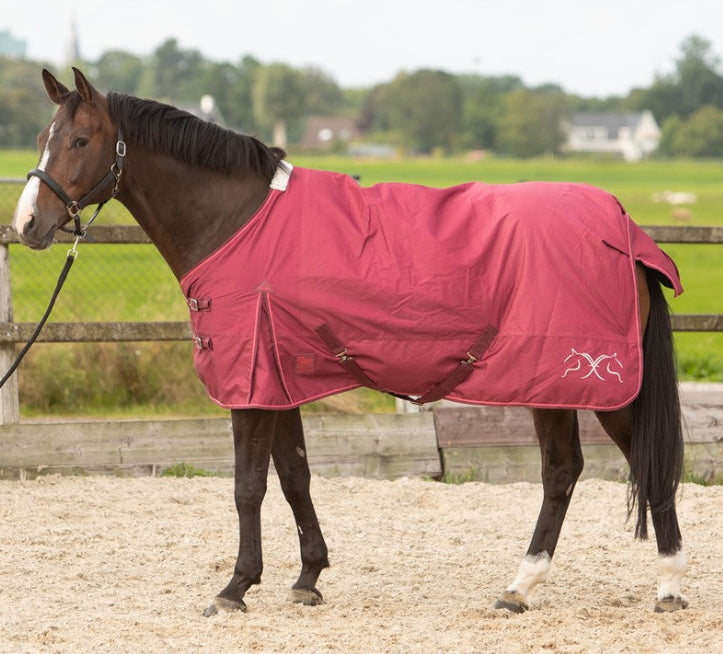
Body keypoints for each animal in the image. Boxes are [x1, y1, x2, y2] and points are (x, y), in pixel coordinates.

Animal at [13, 68, 688, 615]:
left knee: (626, 465)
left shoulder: (249, 383)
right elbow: (294, 476)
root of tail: (624, 230)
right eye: (42, 134)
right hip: (552, 383)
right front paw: (308, 577)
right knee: (565, 471)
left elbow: (248, 486)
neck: (237, 221)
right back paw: (522, 589)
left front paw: (235, 587)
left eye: (79, 140)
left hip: (590, 381)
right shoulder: (278, 376)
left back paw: (664, 586)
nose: (27, 224)